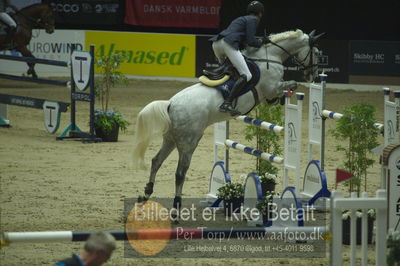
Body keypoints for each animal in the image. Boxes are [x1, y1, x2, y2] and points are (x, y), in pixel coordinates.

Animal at [133, 29, 324, 211]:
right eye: (316, 52)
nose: (312, 76)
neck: (271, 56)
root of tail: (170, 104)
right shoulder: (272, 88)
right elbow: (291, 84)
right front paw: (287, 94)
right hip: (189, 141)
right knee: (180, 172)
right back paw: (175, 208)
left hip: (171, 139)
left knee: (156, 161)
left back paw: (146, 194)